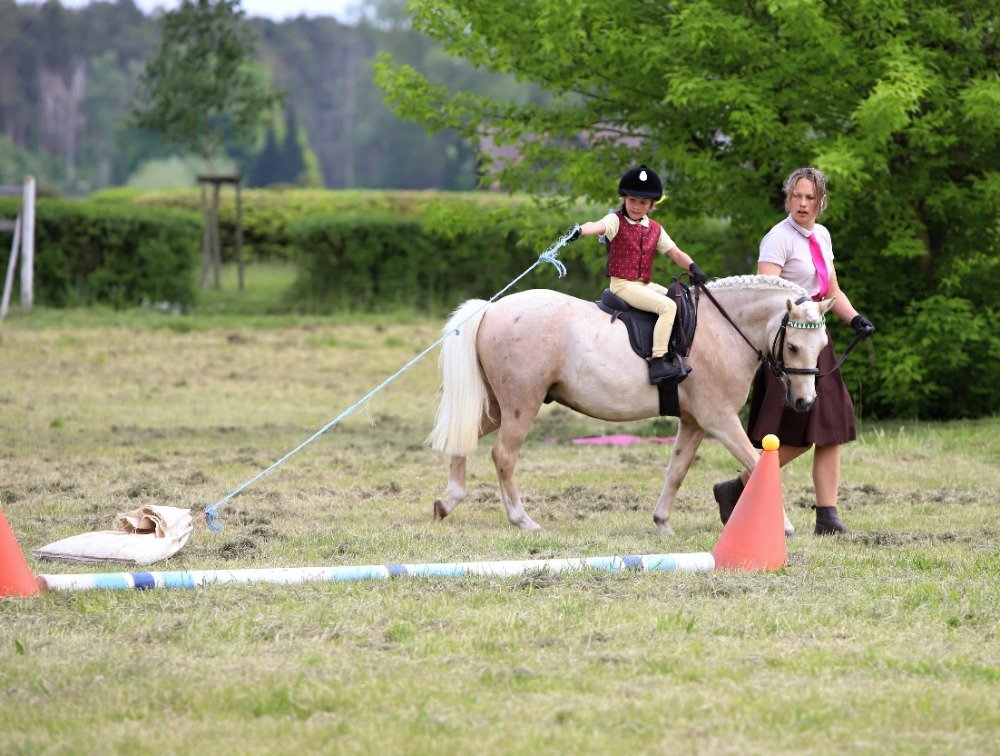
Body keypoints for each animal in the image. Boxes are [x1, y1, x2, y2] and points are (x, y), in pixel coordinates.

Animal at [426, 278, 832, 536]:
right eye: (793, 346)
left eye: (822, 344)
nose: (804, 402)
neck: (723, 329)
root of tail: (492, 309)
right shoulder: (719, 419)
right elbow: (756, 460)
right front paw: (784, 526)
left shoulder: (695, 422)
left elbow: (677, 471)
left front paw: (662, 522)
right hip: (521, 405)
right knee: (504, 456)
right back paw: (521, 520)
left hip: (498, 406)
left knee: (464, 439)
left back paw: (448, 502)